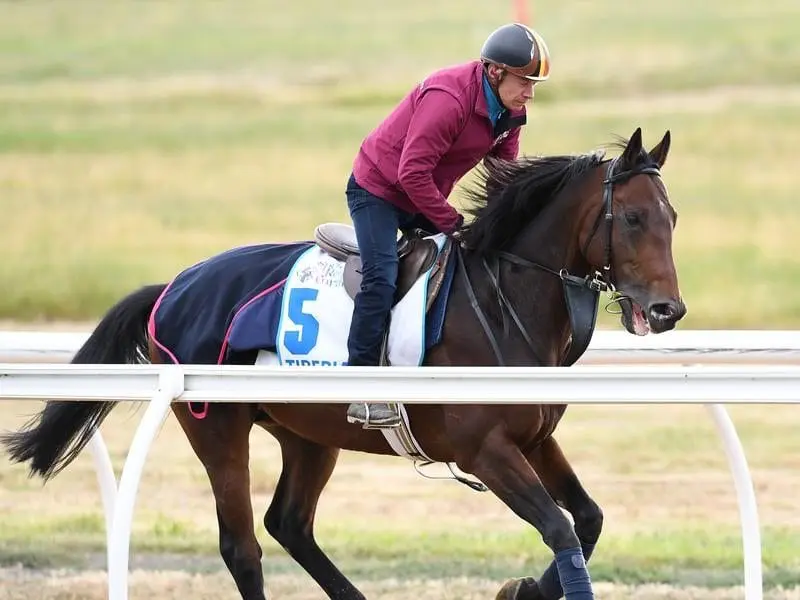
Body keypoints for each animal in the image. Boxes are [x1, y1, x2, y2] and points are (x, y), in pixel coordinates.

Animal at [1, 127, 688, 600]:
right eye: (632, 217)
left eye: (672, 217)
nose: (667, 310)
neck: (501, 300)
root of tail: (172, 286)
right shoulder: (484, 450)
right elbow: (559, 527)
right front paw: (525, 587)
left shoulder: (535, 439)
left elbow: (588, 519)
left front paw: (522, 588)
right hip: (216, 426)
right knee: (243, 545)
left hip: (308, 432)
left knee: (289, 523)